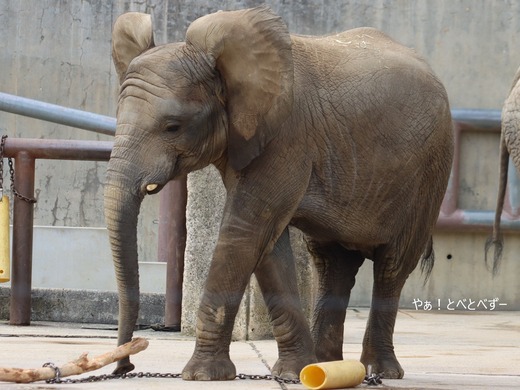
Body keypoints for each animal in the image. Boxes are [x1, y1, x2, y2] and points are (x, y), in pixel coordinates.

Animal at [105, 5, 456, 380]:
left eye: (172, 127)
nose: (126, 367)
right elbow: (267, 244)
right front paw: (293, 373)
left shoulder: (286, 139)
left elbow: (245, 231)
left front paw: (201, 376)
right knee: (332, 264)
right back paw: (327, 366)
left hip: (430, 172)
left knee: (393, 265)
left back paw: (380, 371)